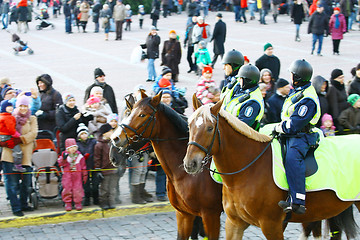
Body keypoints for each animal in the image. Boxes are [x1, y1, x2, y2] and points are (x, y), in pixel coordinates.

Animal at [183, 98, 360, 239]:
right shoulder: (234, 223)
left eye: (209, 128)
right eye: (189, 126)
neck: (248, 170)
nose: (190, 163)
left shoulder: (271, 225)